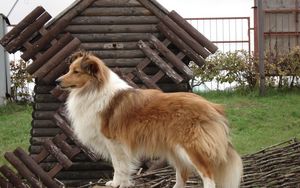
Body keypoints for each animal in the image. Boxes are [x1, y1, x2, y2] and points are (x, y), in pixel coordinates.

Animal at [56, 51, 244, 188]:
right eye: (69, 69)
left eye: (76, 72)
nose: (57, 81)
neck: (94, 89)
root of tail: (213, 107)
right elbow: (123, 167)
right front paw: (123, 183)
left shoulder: (114, 143)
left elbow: (118, 166)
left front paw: (116, 183)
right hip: (175, 149)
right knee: (182, 174)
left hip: (191, 148)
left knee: (208, 175)